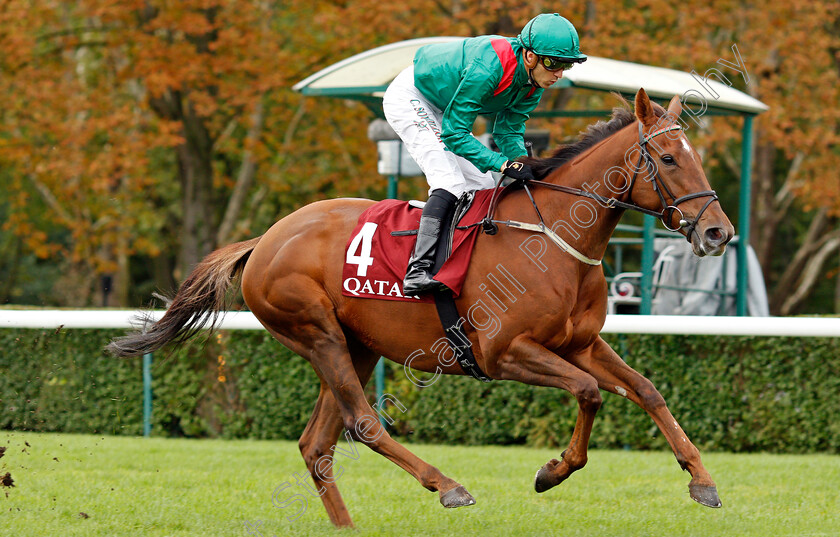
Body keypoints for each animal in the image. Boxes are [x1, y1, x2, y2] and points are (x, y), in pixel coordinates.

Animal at [106, 90, 736, 524]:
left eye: (697, 156)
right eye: (669, 158)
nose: (718, 233)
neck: (553, 236)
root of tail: (265, 239)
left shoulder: (580, 343)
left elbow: (646, 390)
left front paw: (702, 480)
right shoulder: (505, 352)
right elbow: (588, 392)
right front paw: (552, 471)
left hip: (356, 346)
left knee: (317, 445)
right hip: (317, 333)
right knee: (361, 424)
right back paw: (448, 485)